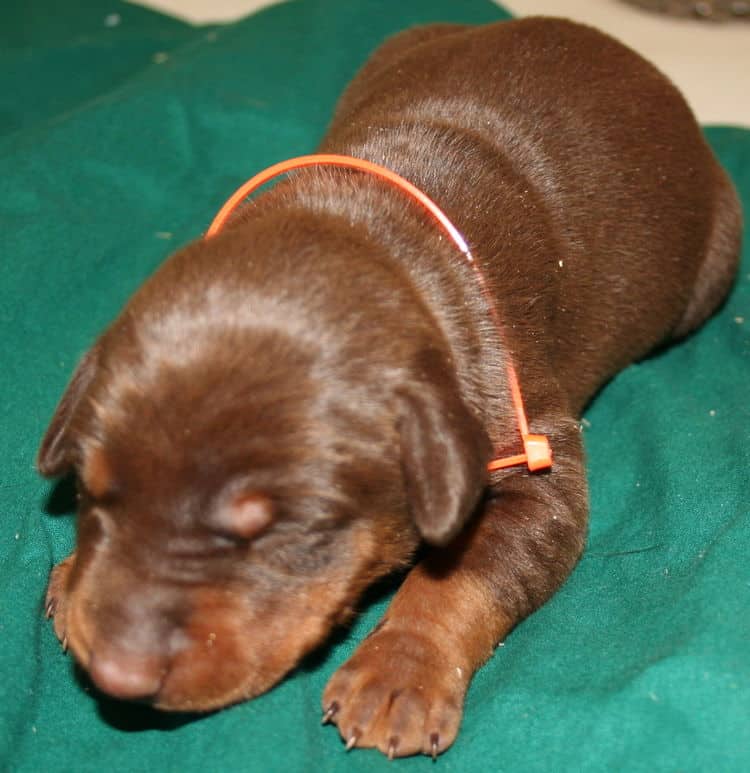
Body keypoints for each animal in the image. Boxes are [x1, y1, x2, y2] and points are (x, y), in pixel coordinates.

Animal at [38, 18, 744, 760]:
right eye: (89, 489)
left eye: (288, 537)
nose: (116, 673)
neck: (364, 226)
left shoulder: (533, 460)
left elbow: (460, 576)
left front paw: (400, 672)